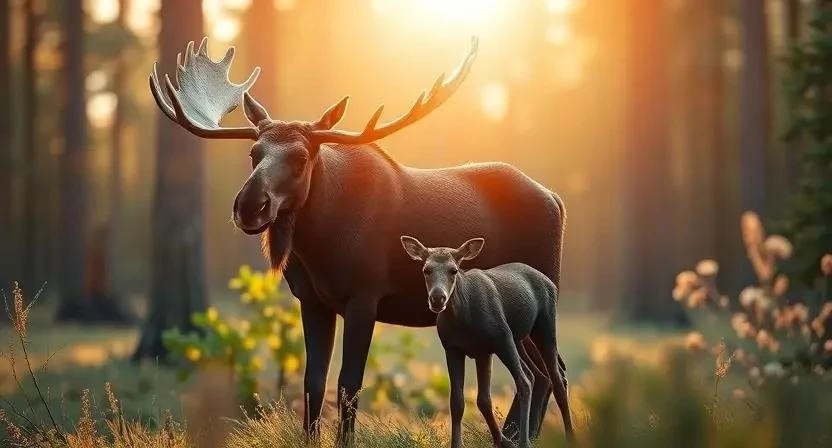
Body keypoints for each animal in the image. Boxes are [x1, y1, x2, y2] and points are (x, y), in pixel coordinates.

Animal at [400, 236, 574, 448]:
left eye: (453, 270)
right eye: (426, 269)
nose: (438, 298)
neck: (464, 320)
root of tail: (551, 283)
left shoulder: (496, 341)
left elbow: (497, 393)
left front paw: (512, 442)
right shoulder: (454, 349)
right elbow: (463, 400)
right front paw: (470, 443)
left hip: (542, 328)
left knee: (547, 379)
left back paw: (562, 436)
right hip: (518, 339)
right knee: (534, 374)